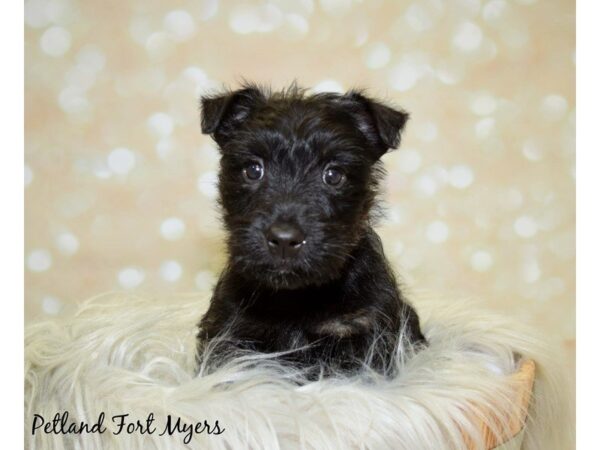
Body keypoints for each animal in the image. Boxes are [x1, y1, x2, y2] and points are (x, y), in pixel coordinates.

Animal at [199, 83, 424, 376]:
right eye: (253, 170)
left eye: (334, 175)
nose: (284, 240)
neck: (298, 297)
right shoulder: (230, 332)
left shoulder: (361, 331)